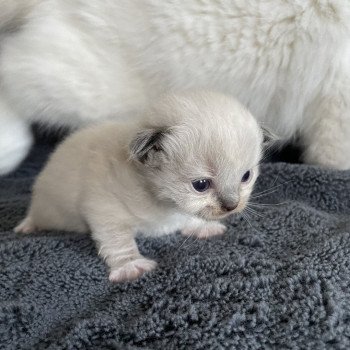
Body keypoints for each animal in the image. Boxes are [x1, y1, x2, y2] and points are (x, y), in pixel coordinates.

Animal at [15, 91, 264, 284]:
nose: (232, 206)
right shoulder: (104, 208)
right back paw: (27, 227)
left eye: (246, 176)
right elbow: (118, 241)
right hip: (46, 208)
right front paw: (131, 267)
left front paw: (203, 227)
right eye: (201, 185)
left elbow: (191, 217)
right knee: (34, 215)